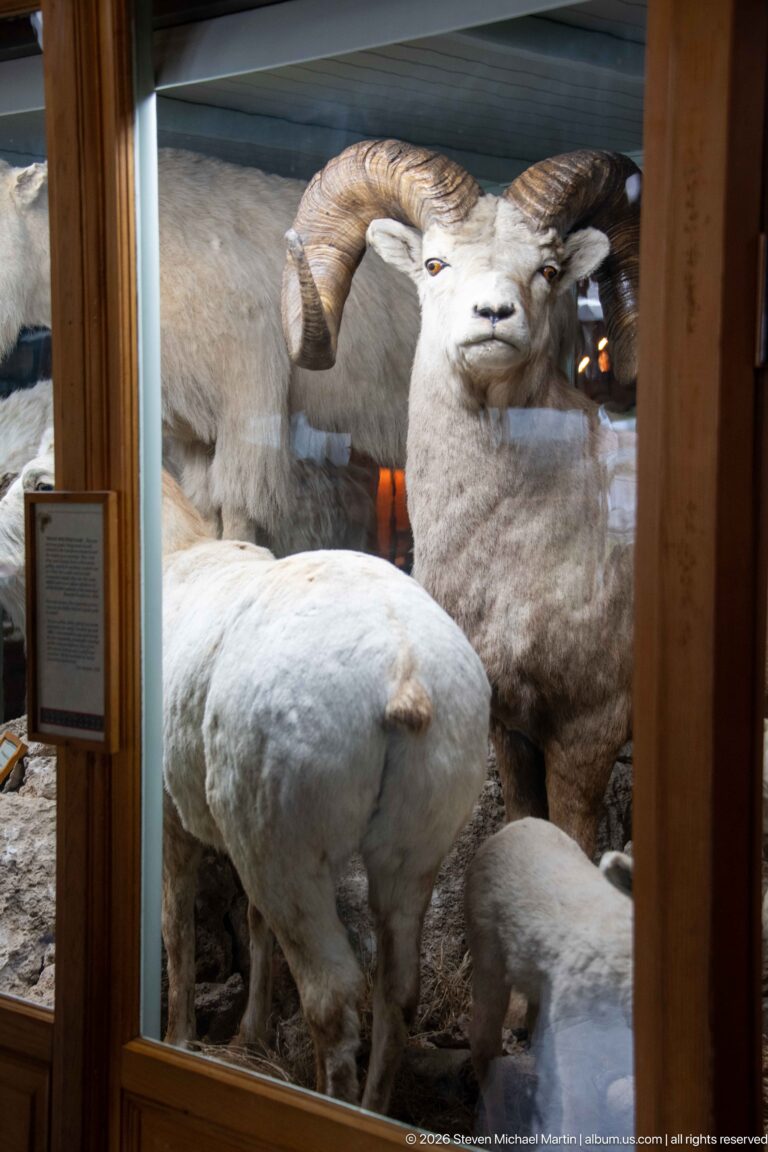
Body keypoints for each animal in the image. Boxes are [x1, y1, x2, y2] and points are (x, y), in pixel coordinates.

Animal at [465, 817, 633, 1137]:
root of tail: (518, 824)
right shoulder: (577, 1033)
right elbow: (579, 1119)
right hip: (487, 946)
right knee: (484, 1045)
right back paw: (497, 1130)